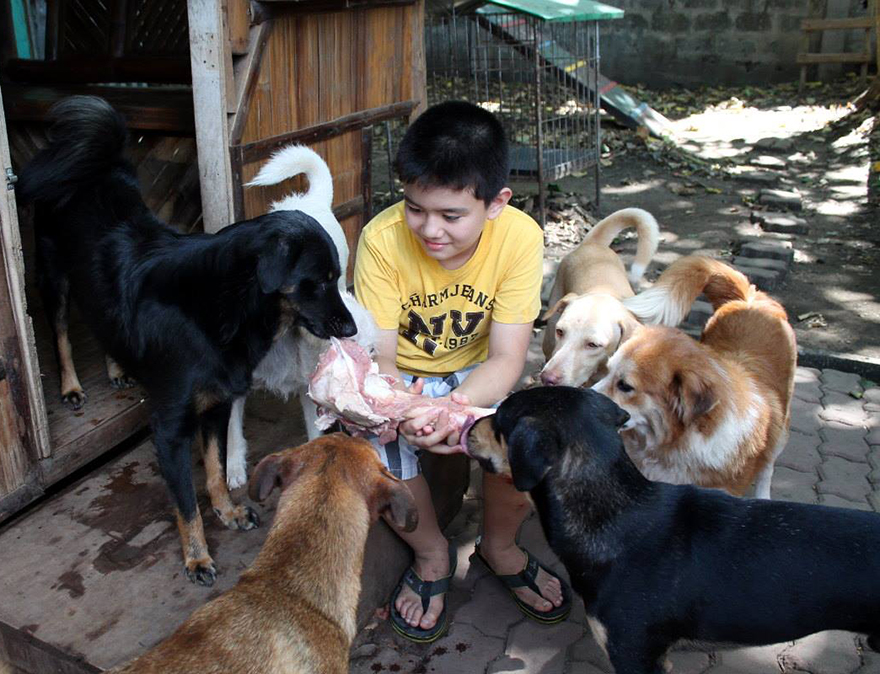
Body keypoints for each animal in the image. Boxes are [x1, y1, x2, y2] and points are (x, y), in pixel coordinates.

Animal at [225, 146, 376, 488]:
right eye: (316, 284)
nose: (350, 330)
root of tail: (310, 198)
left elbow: (314, 434)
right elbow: (232, 430)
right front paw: (234, 468)